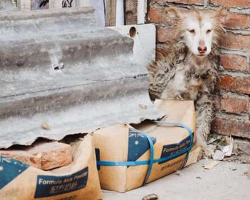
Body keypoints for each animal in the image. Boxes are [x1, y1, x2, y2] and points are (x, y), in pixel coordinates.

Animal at [148, 7, 229, 156]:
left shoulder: (205, 98)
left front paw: (203, 146)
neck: (196, 66)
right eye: (191, 31)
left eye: (209, 31)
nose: (202, 48)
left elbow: (202, 124)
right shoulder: (171, 95)